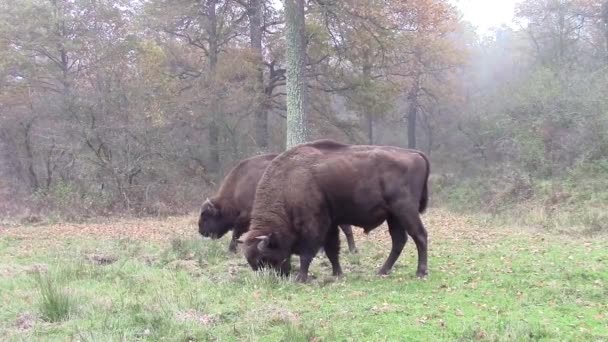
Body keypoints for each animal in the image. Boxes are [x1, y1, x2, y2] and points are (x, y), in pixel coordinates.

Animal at [240, 138, 430, 282]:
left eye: (264, 259)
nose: (272, 279)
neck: (289, 183)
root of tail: (415, 154)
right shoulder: (330, 224)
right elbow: (332, 249)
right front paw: (337, 274)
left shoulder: (314, 225)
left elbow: (308, 252)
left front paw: (301, 278)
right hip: (393, 216)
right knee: (399, 240)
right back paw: (382, 271)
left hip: (405, 210)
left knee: (419, 235)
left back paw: (420, 272)